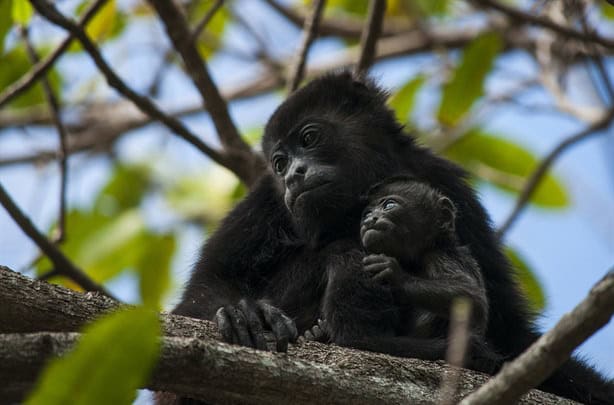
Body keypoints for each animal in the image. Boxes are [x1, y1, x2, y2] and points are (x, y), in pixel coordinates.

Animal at [174, 71, 614, 402]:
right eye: (279, 163)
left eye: (309, 138)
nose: (294, 175)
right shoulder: (267, 198)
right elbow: (203, 289)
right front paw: (243, 313)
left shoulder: (449, 186)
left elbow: (508, 324)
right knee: (345, 251)